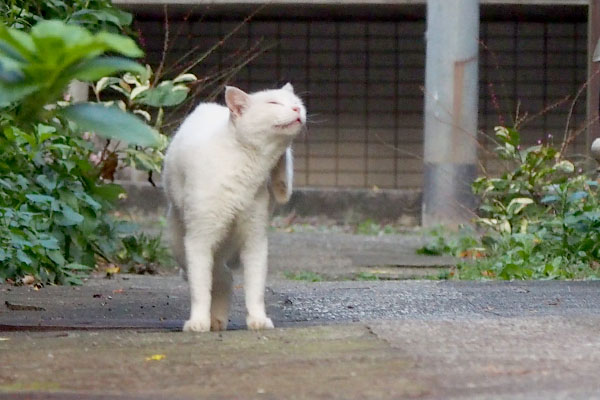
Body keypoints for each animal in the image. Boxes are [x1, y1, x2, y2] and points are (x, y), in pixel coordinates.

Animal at [163, 83, 308, 332]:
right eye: (273, 103)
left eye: (296, 102)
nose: (297, 109)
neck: (246, 166)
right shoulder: (199, 239)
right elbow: (200, 289)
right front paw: (198, 322)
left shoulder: (255, 239)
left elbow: (255, 287)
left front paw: (258, 320)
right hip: (180, 244)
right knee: (218, 276)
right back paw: (212, 320)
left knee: (225, 276)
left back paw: (218, 320)